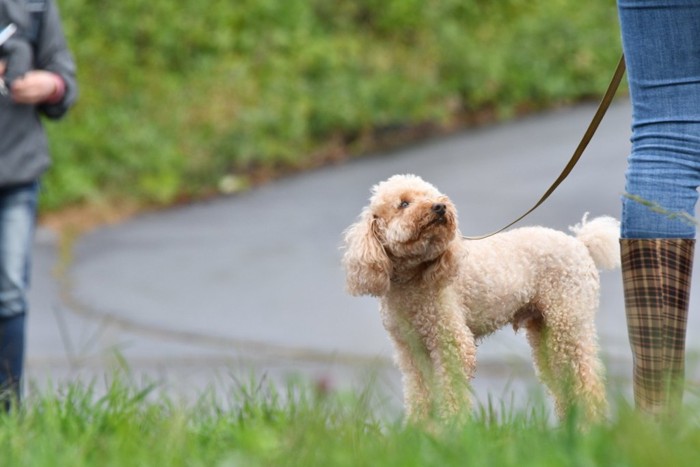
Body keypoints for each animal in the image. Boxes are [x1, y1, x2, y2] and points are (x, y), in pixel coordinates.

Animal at [342, 175, 620, 424]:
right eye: (403, 204)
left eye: (431, 195)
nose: (440, 206)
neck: (415, 278)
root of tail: (581, 244)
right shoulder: (412, 351)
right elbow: (420, 392)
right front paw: (422, 431)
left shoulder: (451, 342)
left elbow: (451, 392)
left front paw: (452, 429)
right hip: (545, 328)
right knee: (561, 378)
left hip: (569, 321)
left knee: (585, 378)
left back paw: (591, 426)